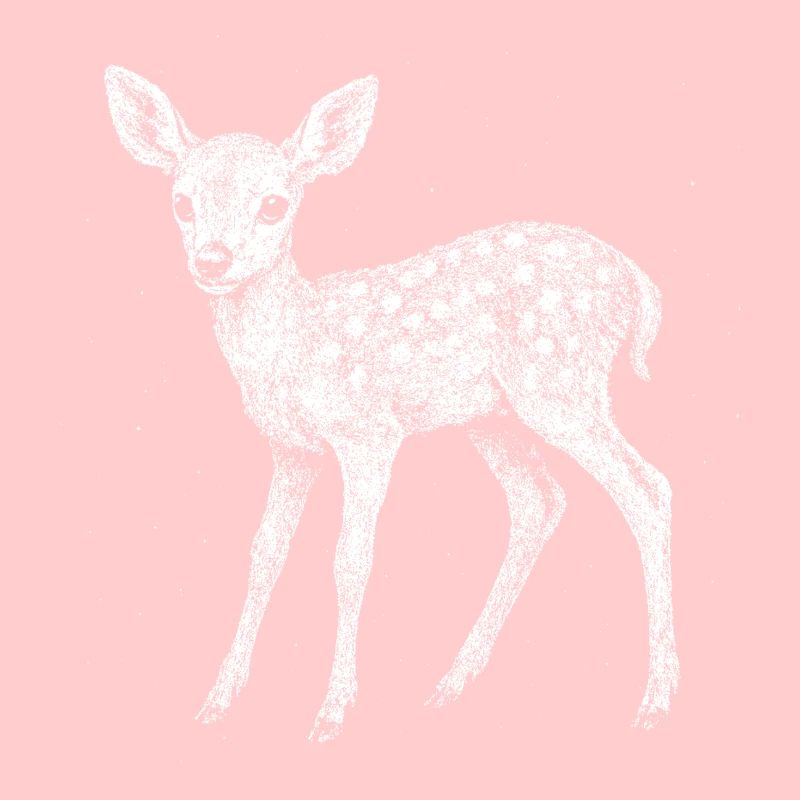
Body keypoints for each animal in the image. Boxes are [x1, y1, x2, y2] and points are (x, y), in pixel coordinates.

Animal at [104, 65, 679, 742]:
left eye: (274, 204)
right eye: (182, 202)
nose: (212, 260)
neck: (296, 344)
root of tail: (640, 284)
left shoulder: (368, 432)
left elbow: (350, 559)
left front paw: (332, 710)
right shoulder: (291, 449)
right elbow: (265, 551)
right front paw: (219, 698)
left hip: (561, 384)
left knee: (647, 488)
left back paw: (657, 699)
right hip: (495, 416)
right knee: (540, 500)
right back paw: (453, 682)